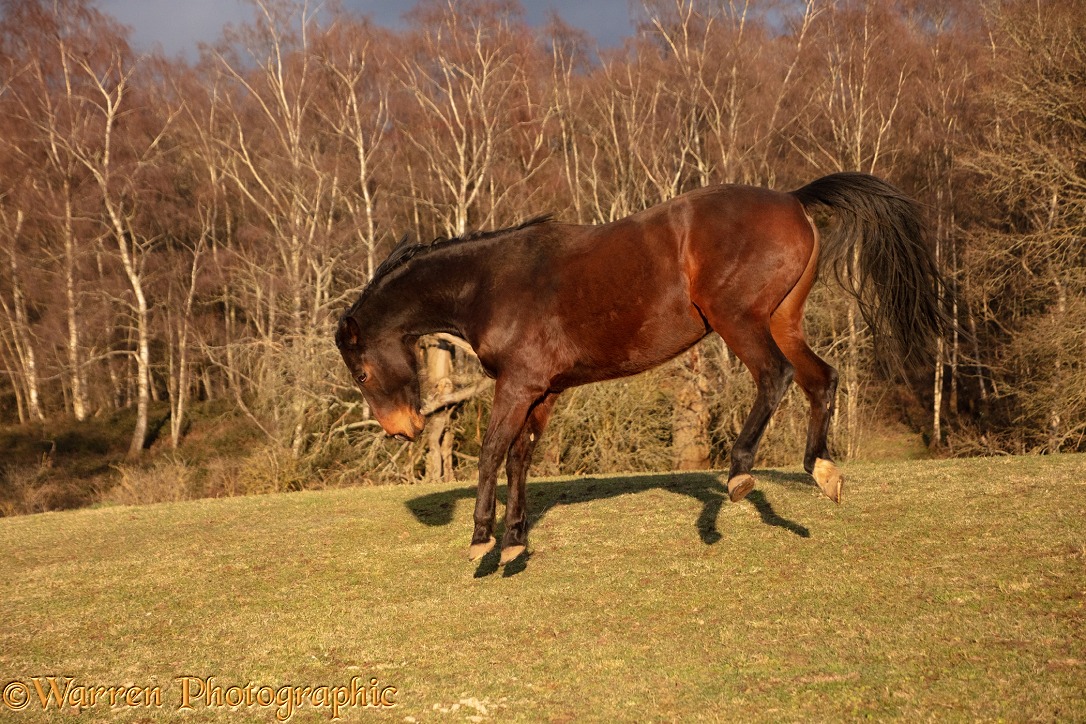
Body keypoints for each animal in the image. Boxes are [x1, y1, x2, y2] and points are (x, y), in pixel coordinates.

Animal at [334, 173, 946, 564]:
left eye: (361, 374)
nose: (401, 430)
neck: (492, 282)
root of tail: (793, 201)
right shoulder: (543, 392)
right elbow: (518, 460)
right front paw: (514, 541)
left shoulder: (518, 385)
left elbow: (490, 453)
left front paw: (481, 538)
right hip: (783, 321)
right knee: (822, 378)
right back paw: (821, 471)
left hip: (740, 321)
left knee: (777, 377)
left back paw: (739, 473)